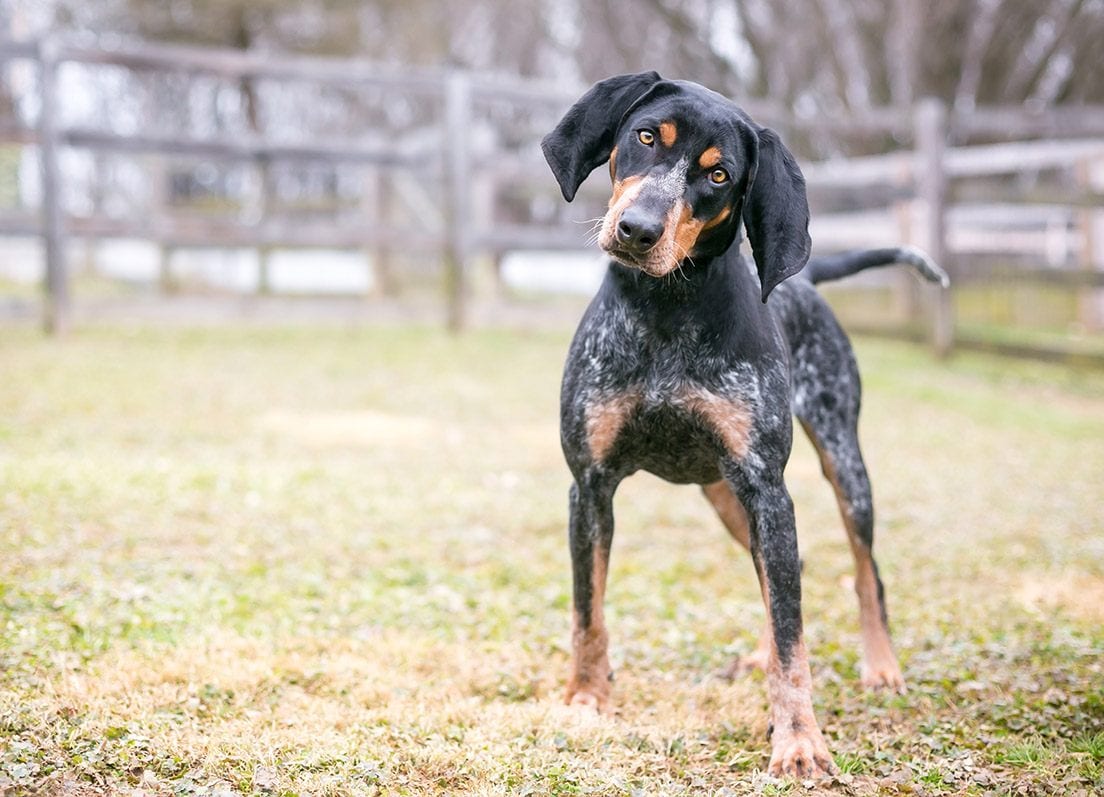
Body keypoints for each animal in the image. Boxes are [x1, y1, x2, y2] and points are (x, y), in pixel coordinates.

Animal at [543, 71, 949, 772]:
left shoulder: (768, 489)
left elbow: (794, 639)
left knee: (862, 574)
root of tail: (807, 278)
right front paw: (588, 698)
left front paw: (799, 739)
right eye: (645, 137)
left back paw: (881, 665)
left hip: (842, 468)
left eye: (719, 174)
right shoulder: (589, 488)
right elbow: (587, 612)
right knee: (784, 579)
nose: (637, 229)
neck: (665, 310)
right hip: (725, 496)